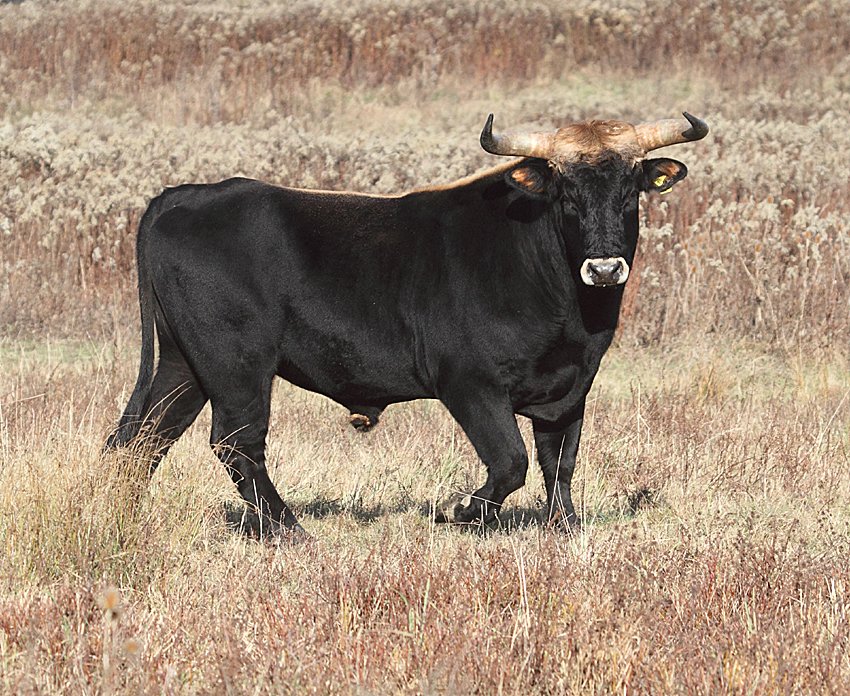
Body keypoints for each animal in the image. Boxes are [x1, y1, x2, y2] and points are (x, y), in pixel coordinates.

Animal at [106, 111, 704, 536]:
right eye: (567, 193)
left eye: (630, 191)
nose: (604, 268)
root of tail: (183, 195)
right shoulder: (469, 384)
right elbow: (510, 461)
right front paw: (458, 511)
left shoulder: (570, 389)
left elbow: (560, 462)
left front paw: (566, 528)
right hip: (237, 365)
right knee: (236, 442)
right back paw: (289, 530)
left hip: (185, 364)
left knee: (141, 438)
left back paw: (121, 517)